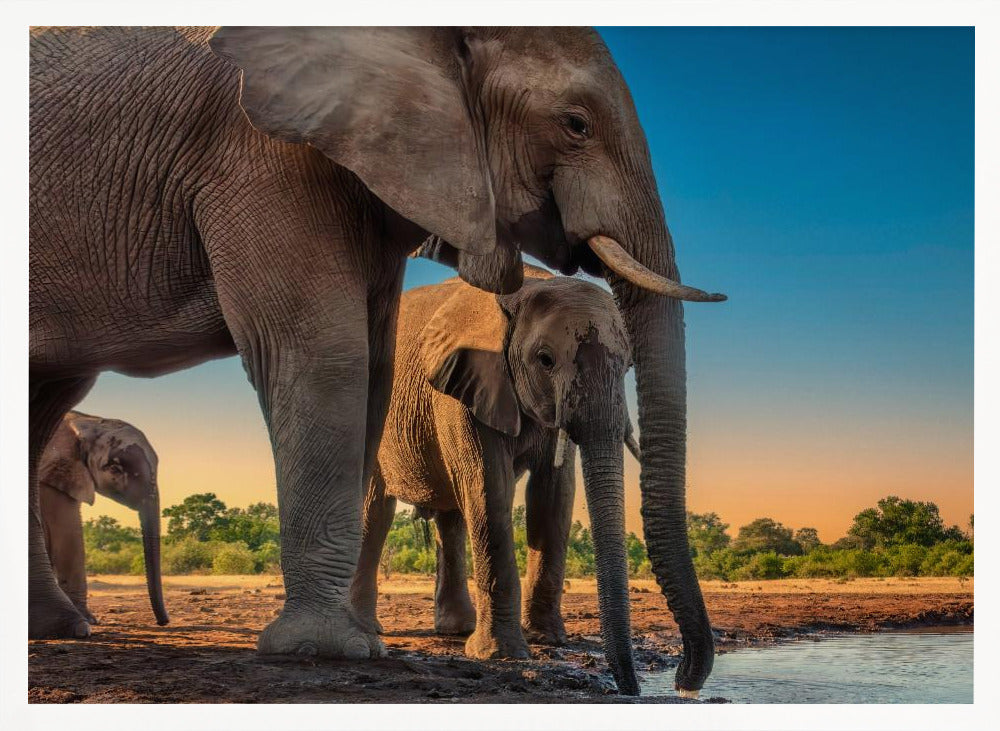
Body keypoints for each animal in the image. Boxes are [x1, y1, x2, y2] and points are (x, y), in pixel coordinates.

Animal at [349, 266, 644, 693]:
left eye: (627, 366)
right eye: (545, 360)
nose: (630, 690)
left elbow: (554, 495)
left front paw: (547, 639)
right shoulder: (466, 386)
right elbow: (490, 485)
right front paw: (502, 654)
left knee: (451, 518)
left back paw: (456, 630)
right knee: (376, 511)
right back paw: (367, 628)